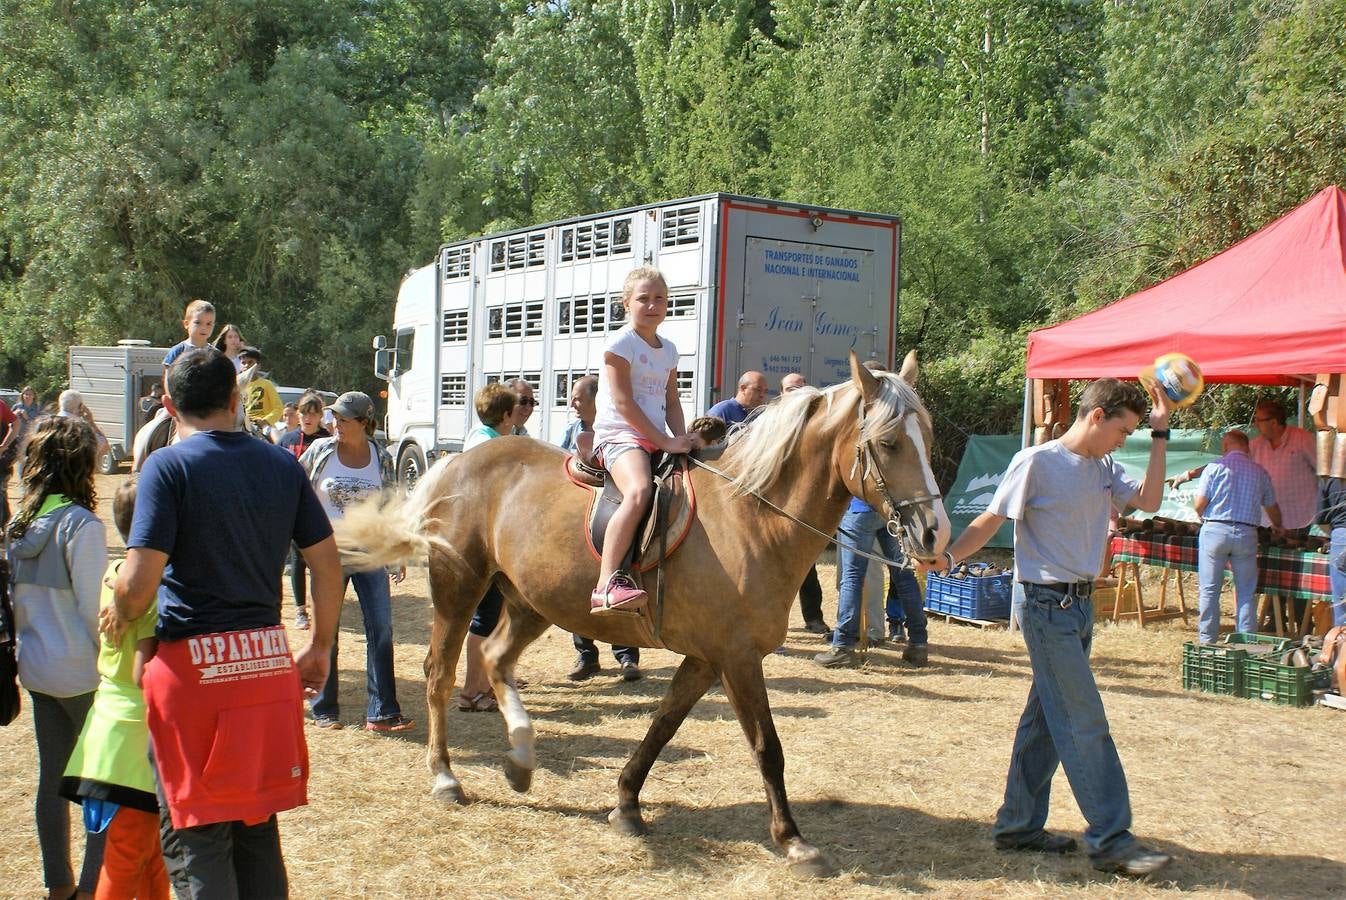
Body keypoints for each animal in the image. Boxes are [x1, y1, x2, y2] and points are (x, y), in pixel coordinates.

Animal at [336, 349, 947, 871]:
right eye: (890, 443)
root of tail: (457, 464)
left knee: (495, 660)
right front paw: (793, 841)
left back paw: (520, 761)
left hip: (533, 602)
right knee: (440, 673)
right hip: (460, 589)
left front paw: (627, 804)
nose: (934, 535)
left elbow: (662, 726)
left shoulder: (706, 659)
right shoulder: (737, 658)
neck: (750, 516)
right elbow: (766, 746)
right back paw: (446, 778)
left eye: (929, 437)